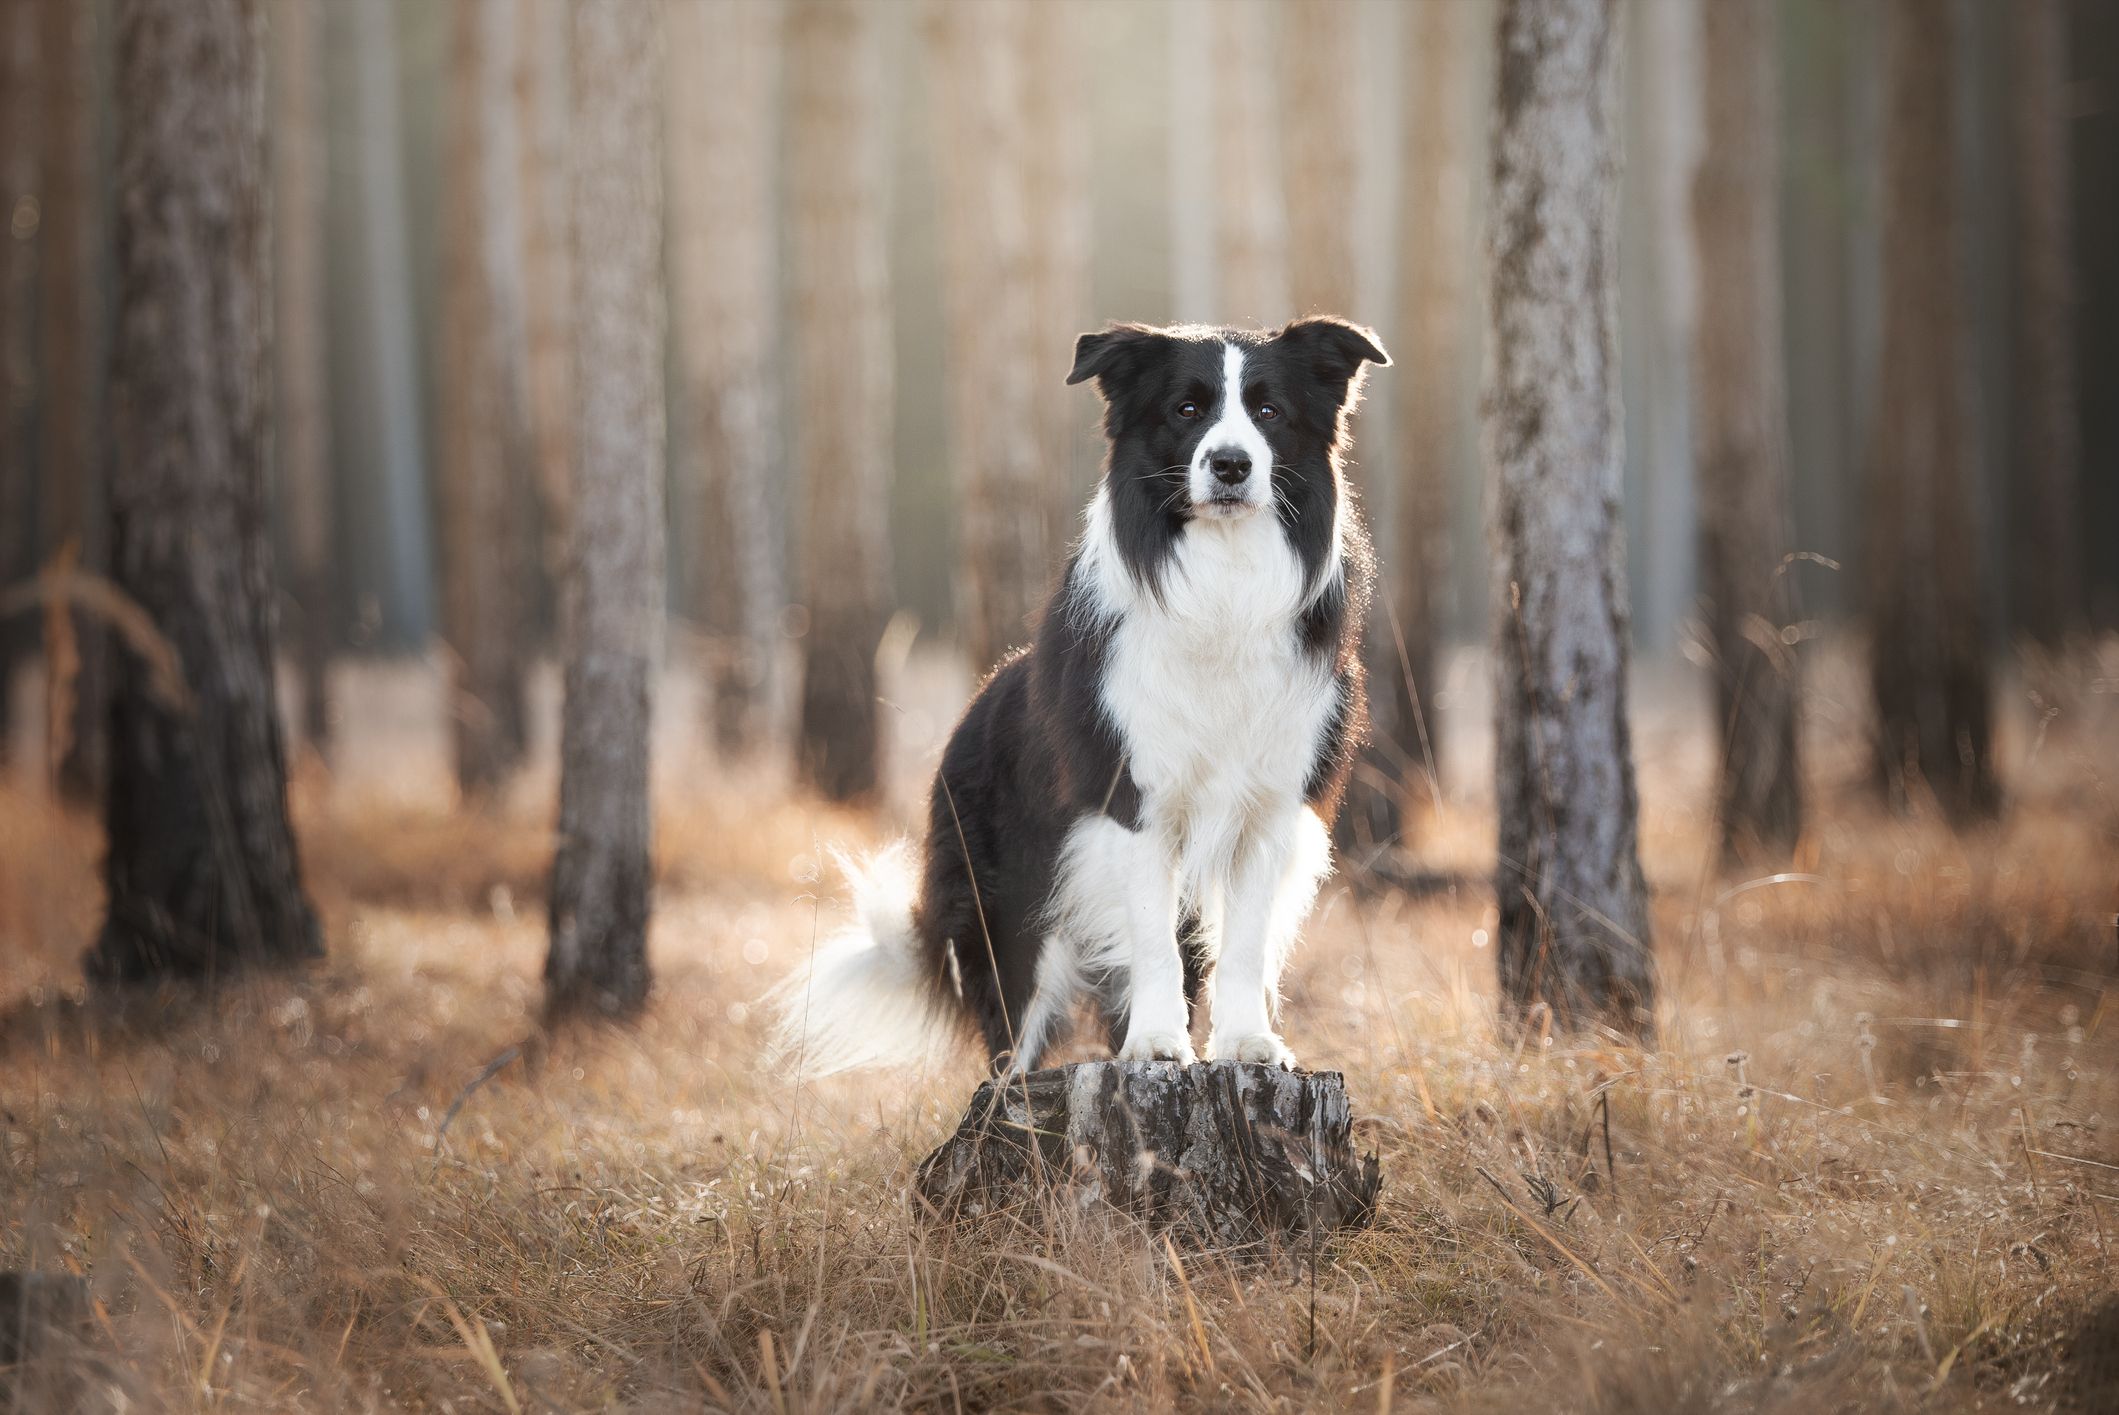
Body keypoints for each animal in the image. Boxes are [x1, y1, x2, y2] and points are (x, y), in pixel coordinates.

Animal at [779, 317, 1390, 1071]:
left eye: (1269, 411)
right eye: (1186, 409)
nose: (1230, 465)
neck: (1222, 582)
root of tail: (974, 707)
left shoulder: (1270, 803)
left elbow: (1243, 944)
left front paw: (1248, 1042)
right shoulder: (1131, 799)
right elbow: (1150, 941)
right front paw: (1156, 1044)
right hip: (1009, 902)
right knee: (1011, 1026)